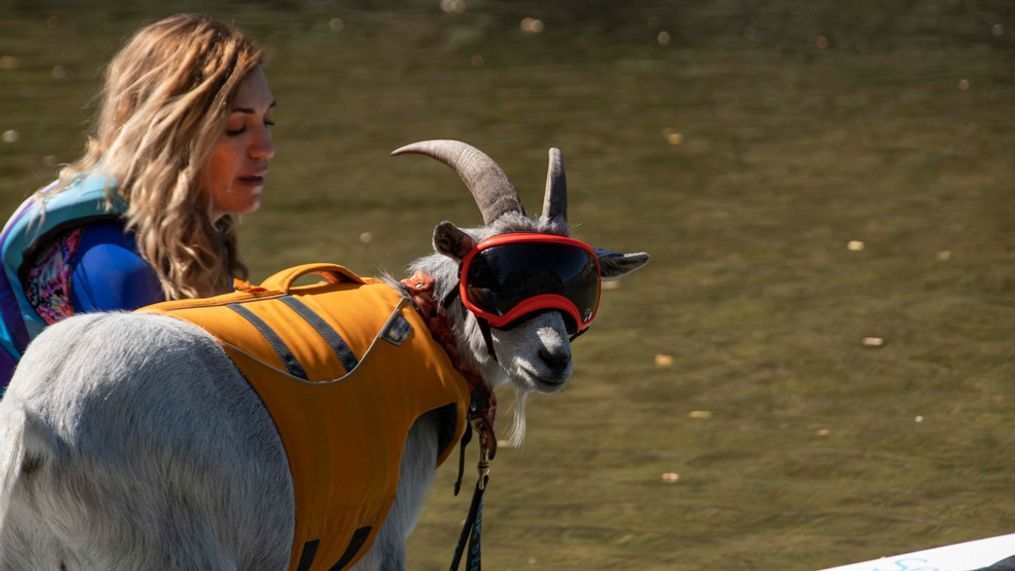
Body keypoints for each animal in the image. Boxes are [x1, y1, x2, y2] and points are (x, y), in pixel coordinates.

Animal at [0, 140, 649, 567]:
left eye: (579, 282)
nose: (553, 359)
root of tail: (37, 419)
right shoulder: (378, 537)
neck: (427, 327)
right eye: (490, 278)